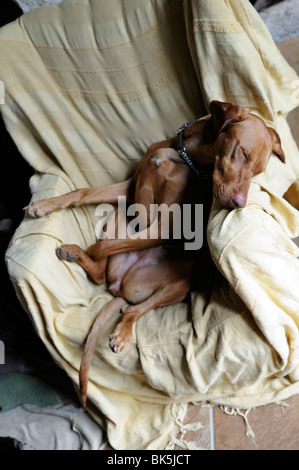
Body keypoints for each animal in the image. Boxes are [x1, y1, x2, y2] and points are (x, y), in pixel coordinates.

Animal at [24, 101, 284, 406]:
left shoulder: (166, 225)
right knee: (101, 274)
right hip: (119, 215)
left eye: (258, 172)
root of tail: (121, 287)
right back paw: (74, 254)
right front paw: (45, 205)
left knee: (133, 308)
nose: (239, 204)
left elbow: (103, 247)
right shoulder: (129, 187)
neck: (185, 156)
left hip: (177, 285)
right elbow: (83, 193)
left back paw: (122, 331)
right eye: (243, 153)